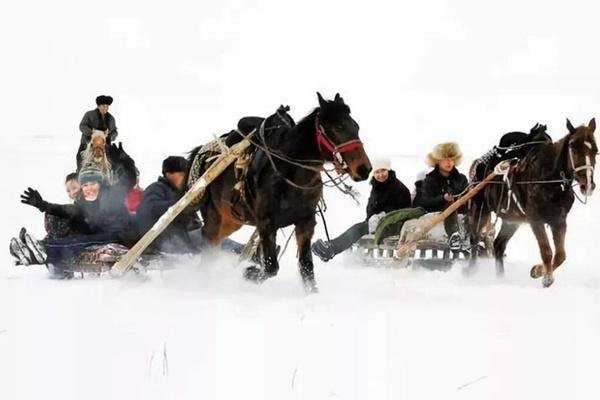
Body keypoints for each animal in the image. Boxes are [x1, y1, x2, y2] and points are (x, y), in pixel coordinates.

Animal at [188, 94, 370, 294]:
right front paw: (249, 273)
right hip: (215, 215)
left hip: (232, 220)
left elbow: (306, 266)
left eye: (356, 127)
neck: (290, 175)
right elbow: (271, 267)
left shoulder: (305, 222)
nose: (364, 169)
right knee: (208, 241)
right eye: (338, 127)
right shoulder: (267, 224)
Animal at [468, 117, 596, 286]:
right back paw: (470, 271)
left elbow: (560, 255)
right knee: (474, 238)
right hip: (480, 208)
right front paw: (547, 277)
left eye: (596, 151)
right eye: (573, 148)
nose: (588, 185)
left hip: (512, 220)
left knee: (499, 245)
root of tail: (479, 164)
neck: (549, 179)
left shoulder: (559, 220)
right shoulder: (535, 219)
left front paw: (538, 271)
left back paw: (501, 278)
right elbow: (547, 251)